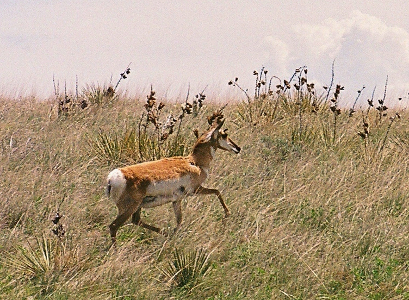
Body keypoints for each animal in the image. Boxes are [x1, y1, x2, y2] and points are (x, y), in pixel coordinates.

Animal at [106, 113, 239, 243]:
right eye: (224, 134)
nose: (238, 148)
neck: (195, 162)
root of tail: (112, 178)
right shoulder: (196, 189)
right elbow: (217, 191)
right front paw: (227, 213)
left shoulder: (177, 200)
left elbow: (179, 220)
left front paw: (174, 234)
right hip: (130, 208)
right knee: (114, 226)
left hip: (136, 207)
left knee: (136, 220)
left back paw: (165, 233)